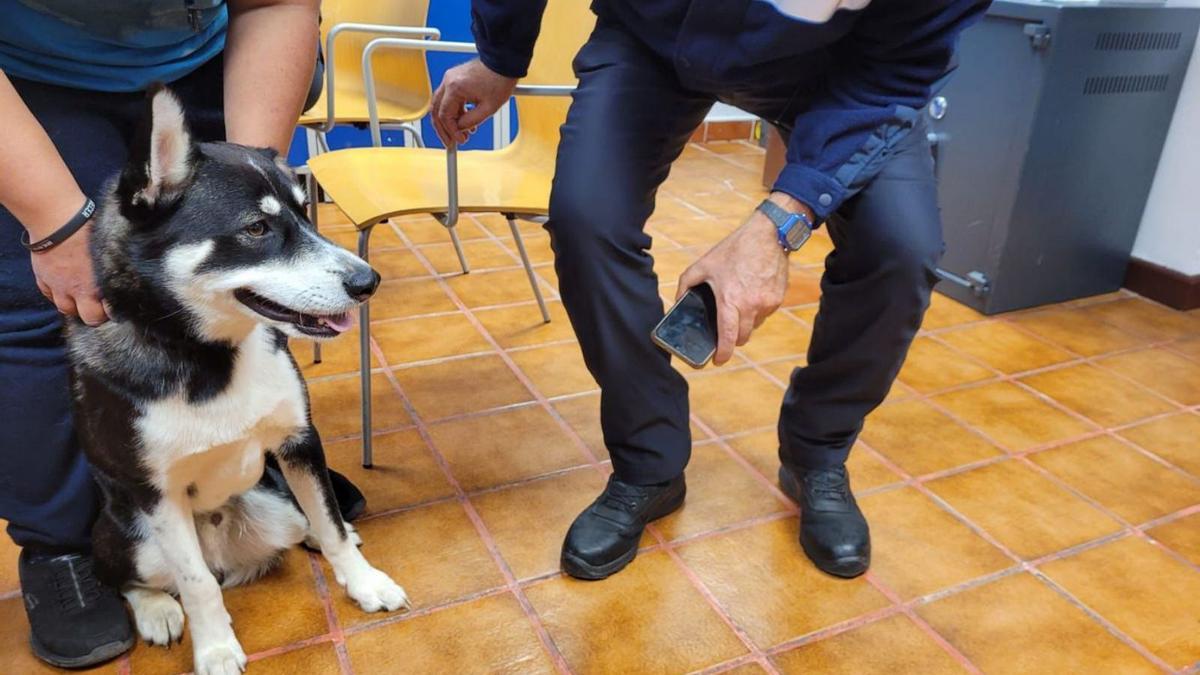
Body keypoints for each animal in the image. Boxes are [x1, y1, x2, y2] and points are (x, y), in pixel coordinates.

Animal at [66, 88, 408, 672]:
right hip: (130, 535)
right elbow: (197, 583)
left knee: (309, 522)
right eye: (256, 229)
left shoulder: (298, 443)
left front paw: (364, 583)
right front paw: (216, 647)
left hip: (274, 500)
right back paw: (158, 610)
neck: (210, 358)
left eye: (305, 213)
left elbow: (330, 522)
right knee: (135, 579)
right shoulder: (157, 494)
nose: (368, 281)